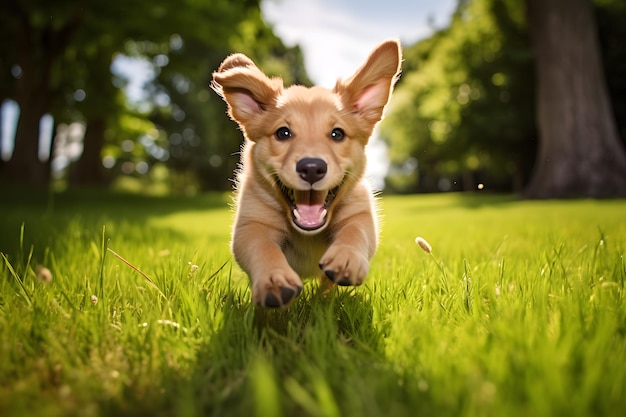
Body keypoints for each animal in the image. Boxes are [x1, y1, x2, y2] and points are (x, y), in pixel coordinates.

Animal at [212, 39, 402, 306]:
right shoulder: (251, 223)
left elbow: (355, 230)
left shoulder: (360, 211)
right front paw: (274, 279)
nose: (312, 168)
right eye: (283, 133)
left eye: (337, 134)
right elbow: (262, 246)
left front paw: (346, 258)